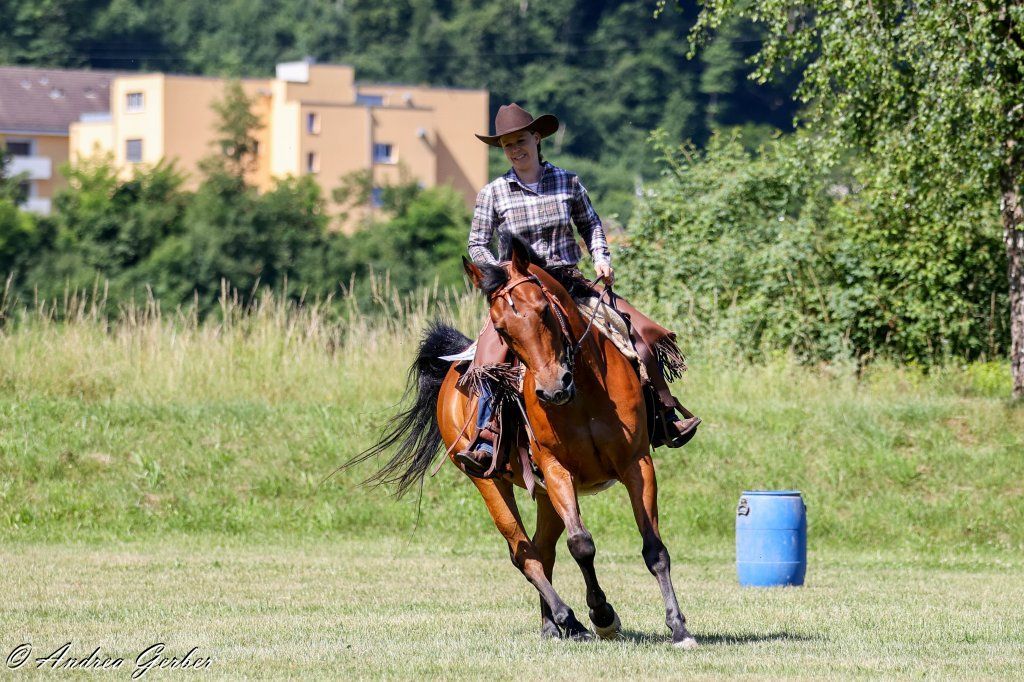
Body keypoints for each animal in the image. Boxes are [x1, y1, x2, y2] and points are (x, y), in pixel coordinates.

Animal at [349, 238, 697, 648]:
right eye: (501, 327)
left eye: (545, 310)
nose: (552, 387)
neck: (583, 394)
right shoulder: (557, 468)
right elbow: (582, 544)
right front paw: (602, 615)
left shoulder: (636, 464)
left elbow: (653, 548)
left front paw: (678, 627)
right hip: (489, 483)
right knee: (524, 552)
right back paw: (569, 619)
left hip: (546, 494)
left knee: (542, 549)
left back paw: (554, 625)